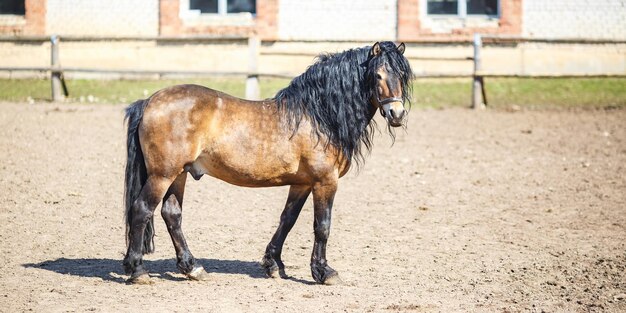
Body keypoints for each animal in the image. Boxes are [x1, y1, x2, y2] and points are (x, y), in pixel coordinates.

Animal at [122, 40, 414, 282]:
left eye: (401, 75)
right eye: (377, 75)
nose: (396, 113)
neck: (318, 115)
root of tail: (148, 101)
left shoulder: (302, 183)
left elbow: (288, 219)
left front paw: (274, 264)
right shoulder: (325, 181)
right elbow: (322, 226)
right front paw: (324, 272)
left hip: (179, 174)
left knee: (171, 214)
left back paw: (192, 268)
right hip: (163, 174)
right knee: (142, 210)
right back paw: (138, 271)